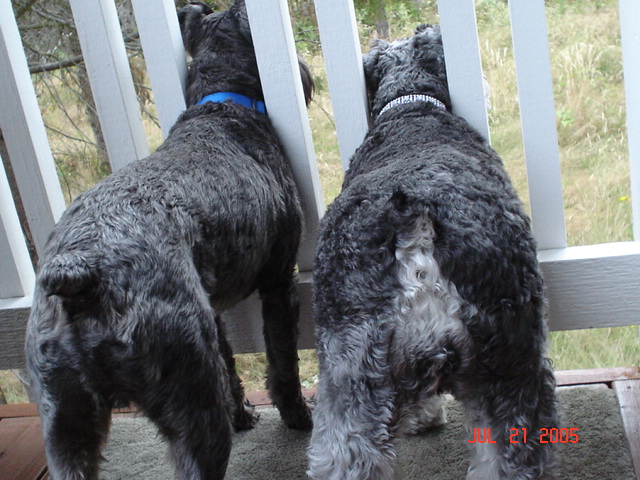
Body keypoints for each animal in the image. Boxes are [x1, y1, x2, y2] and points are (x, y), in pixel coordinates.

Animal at [24, 1, 312, 478]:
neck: (222, 105)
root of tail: (79, 277)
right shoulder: (277, 280)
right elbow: (282, 356)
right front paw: (297, 416)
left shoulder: (212, 308)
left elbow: (229, 361)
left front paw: (242, 414)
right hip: (190, 397)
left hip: (65, 423)